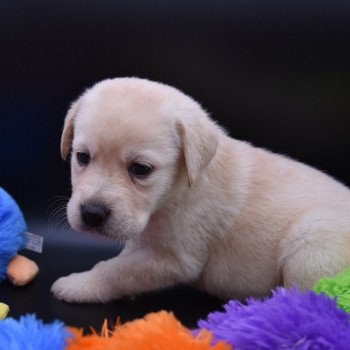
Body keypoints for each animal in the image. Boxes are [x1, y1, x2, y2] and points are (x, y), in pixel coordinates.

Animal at [50, 77, 350, 304]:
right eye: (83, 157)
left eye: (141, 169)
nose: (92, 213)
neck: (174, 195)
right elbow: (123, 257)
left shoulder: (175, 260)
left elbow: (118, 271)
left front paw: (79, 285)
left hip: (311, 246)